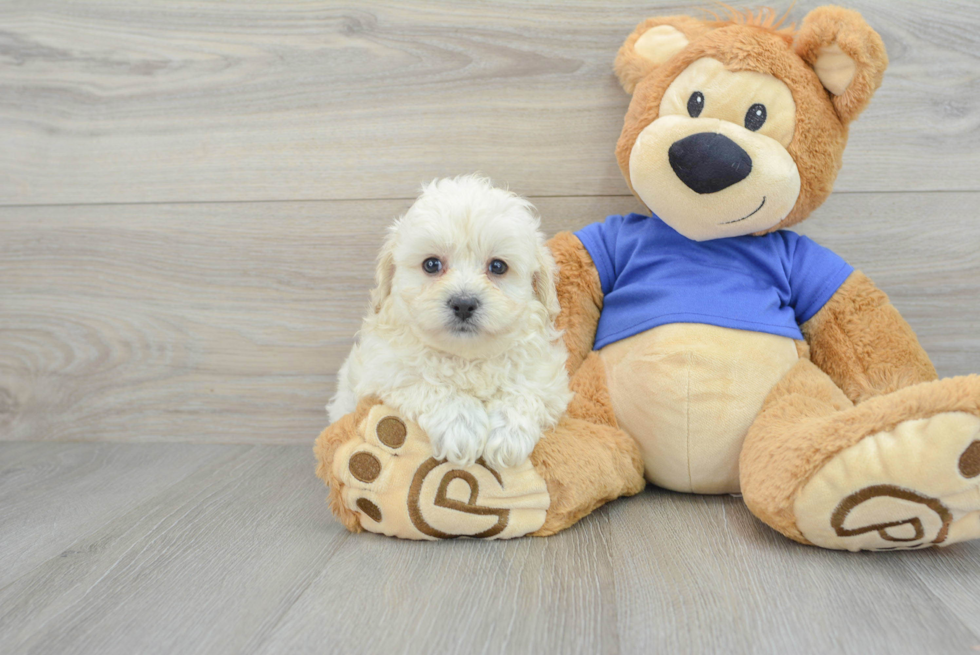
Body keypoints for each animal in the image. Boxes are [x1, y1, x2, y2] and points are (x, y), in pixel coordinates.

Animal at [330, 176, 576, 466]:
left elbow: (524, 390)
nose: (464, 303)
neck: (466, 358)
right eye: (432, 265)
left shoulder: (546, 378)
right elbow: (428, 383)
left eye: (498, 267)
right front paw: (462, 427)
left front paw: (508, 435)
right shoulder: (385, 371)